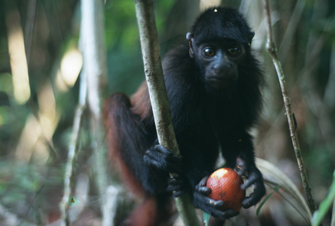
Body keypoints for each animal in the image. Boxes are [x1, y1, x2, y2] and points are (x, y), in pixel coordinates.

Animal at [106, 6, 266, 226]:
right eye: (208, 52)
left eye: (233, 51)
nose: (221, 66)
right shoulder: (178, 78)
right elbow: (182, 136)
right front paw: (197, 195)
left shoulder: (250, 77)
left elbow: (234, 132)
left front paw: (251, 174)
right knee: (117, 104)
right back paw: (157, 170)